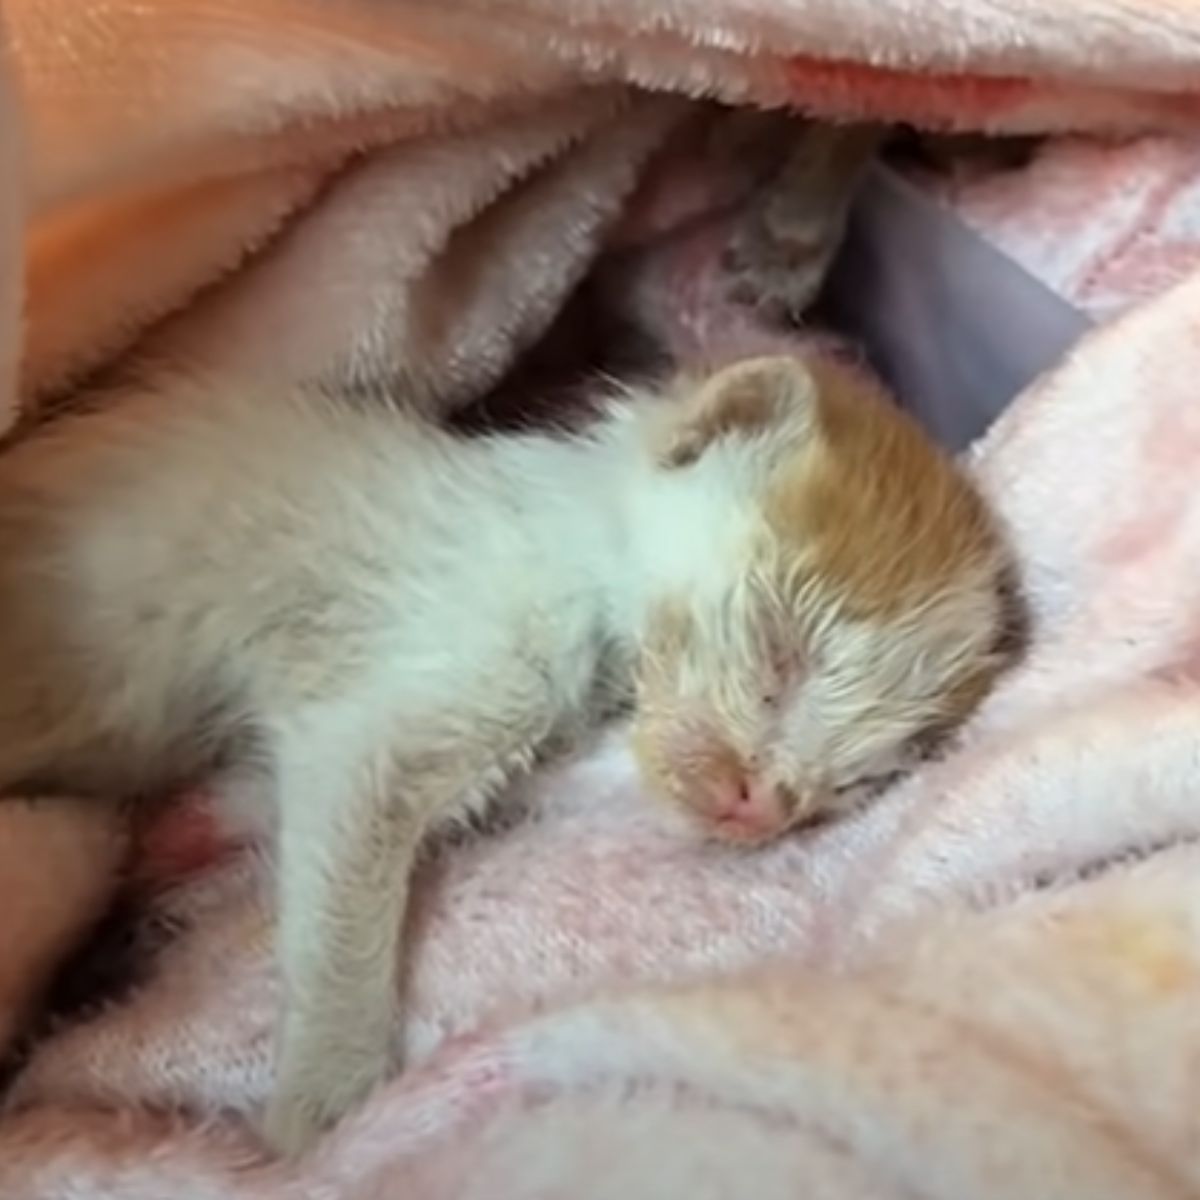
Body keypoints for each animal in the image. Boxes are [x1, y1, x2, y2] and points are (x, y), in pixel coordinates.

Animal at [0, 352, 1022, 1152]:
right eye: (781, 654)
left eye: (856, 780)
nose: (761, 804)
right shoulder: (411, 697)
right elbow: (344, 882)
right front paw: (325, 1112)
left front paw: (182, 838)